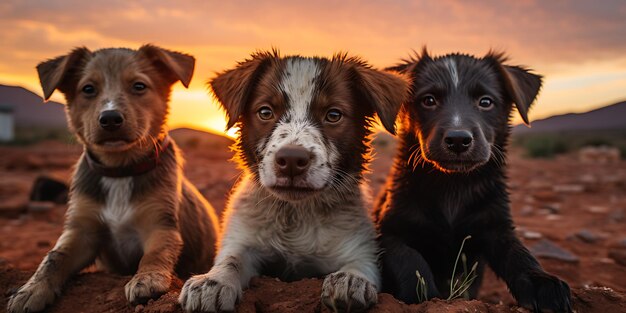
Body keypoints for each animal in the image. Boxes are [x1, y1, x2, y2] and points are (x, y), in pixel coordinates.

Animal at [7, 44, 219, 312]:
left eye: (139, 86)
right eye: (88, 89)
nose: (110, 119)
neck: (120, 171)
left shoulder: (161, 224)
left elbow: (155, 253)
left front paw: (147, 278)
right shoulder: (81, 231)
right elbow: (53, 257)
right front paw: (30, 289)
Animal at [177, 51, 410, 312]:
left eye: (333, 115)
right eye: (265, 112)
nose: (290, 160)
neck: (297, 214)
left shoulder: (361, 247)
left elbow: (361, 265)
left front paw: (351, 280)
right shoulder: (242, 238)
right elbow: (232, 259)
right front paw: (212, 281)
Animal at [372, 50, 572, 310]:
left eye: (485, 102)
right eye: (428, 100)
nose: (458, 139)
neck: (453, 185)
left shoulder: (496, 227)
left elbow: (519, 255)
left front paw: (543, 283)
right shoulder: (388, 230)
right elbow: (410, 260)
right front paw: (423, 295)